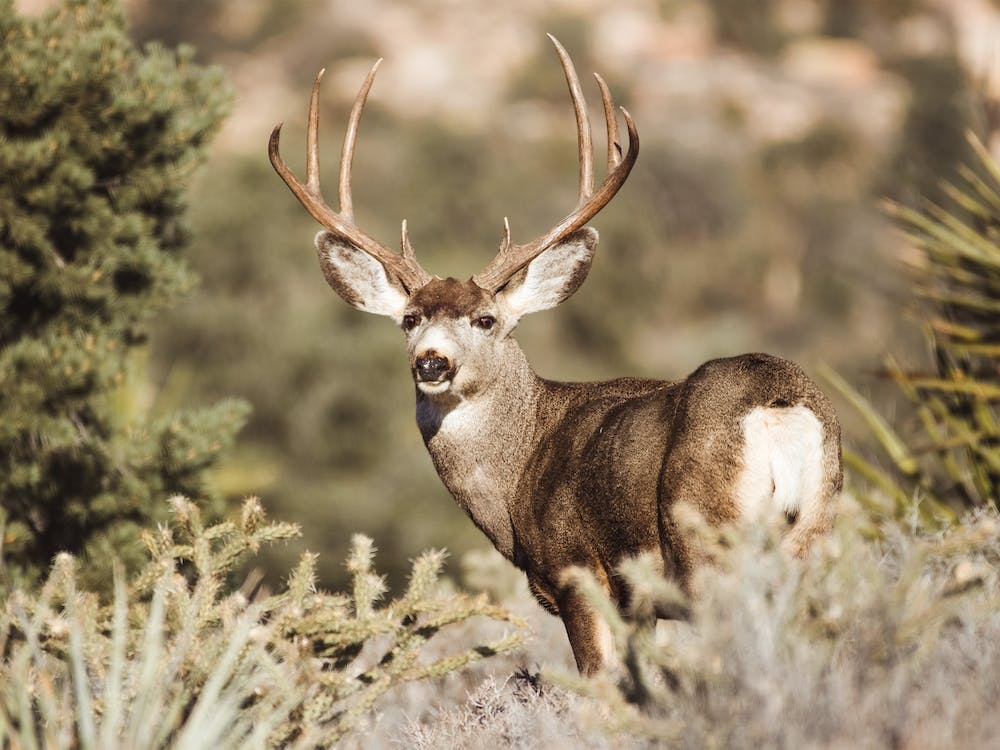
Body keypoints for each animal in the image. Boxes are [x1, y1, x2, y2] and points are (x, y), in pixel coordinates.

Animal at [268, 36, 842, 675]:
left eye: (486, 319)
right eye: (410, 320)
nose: (432, 362)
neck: (519, 466)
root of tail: (779, 407)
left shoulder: (576, 570)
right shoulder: (637, 603)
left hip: (705, 543)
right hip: (813, 534)